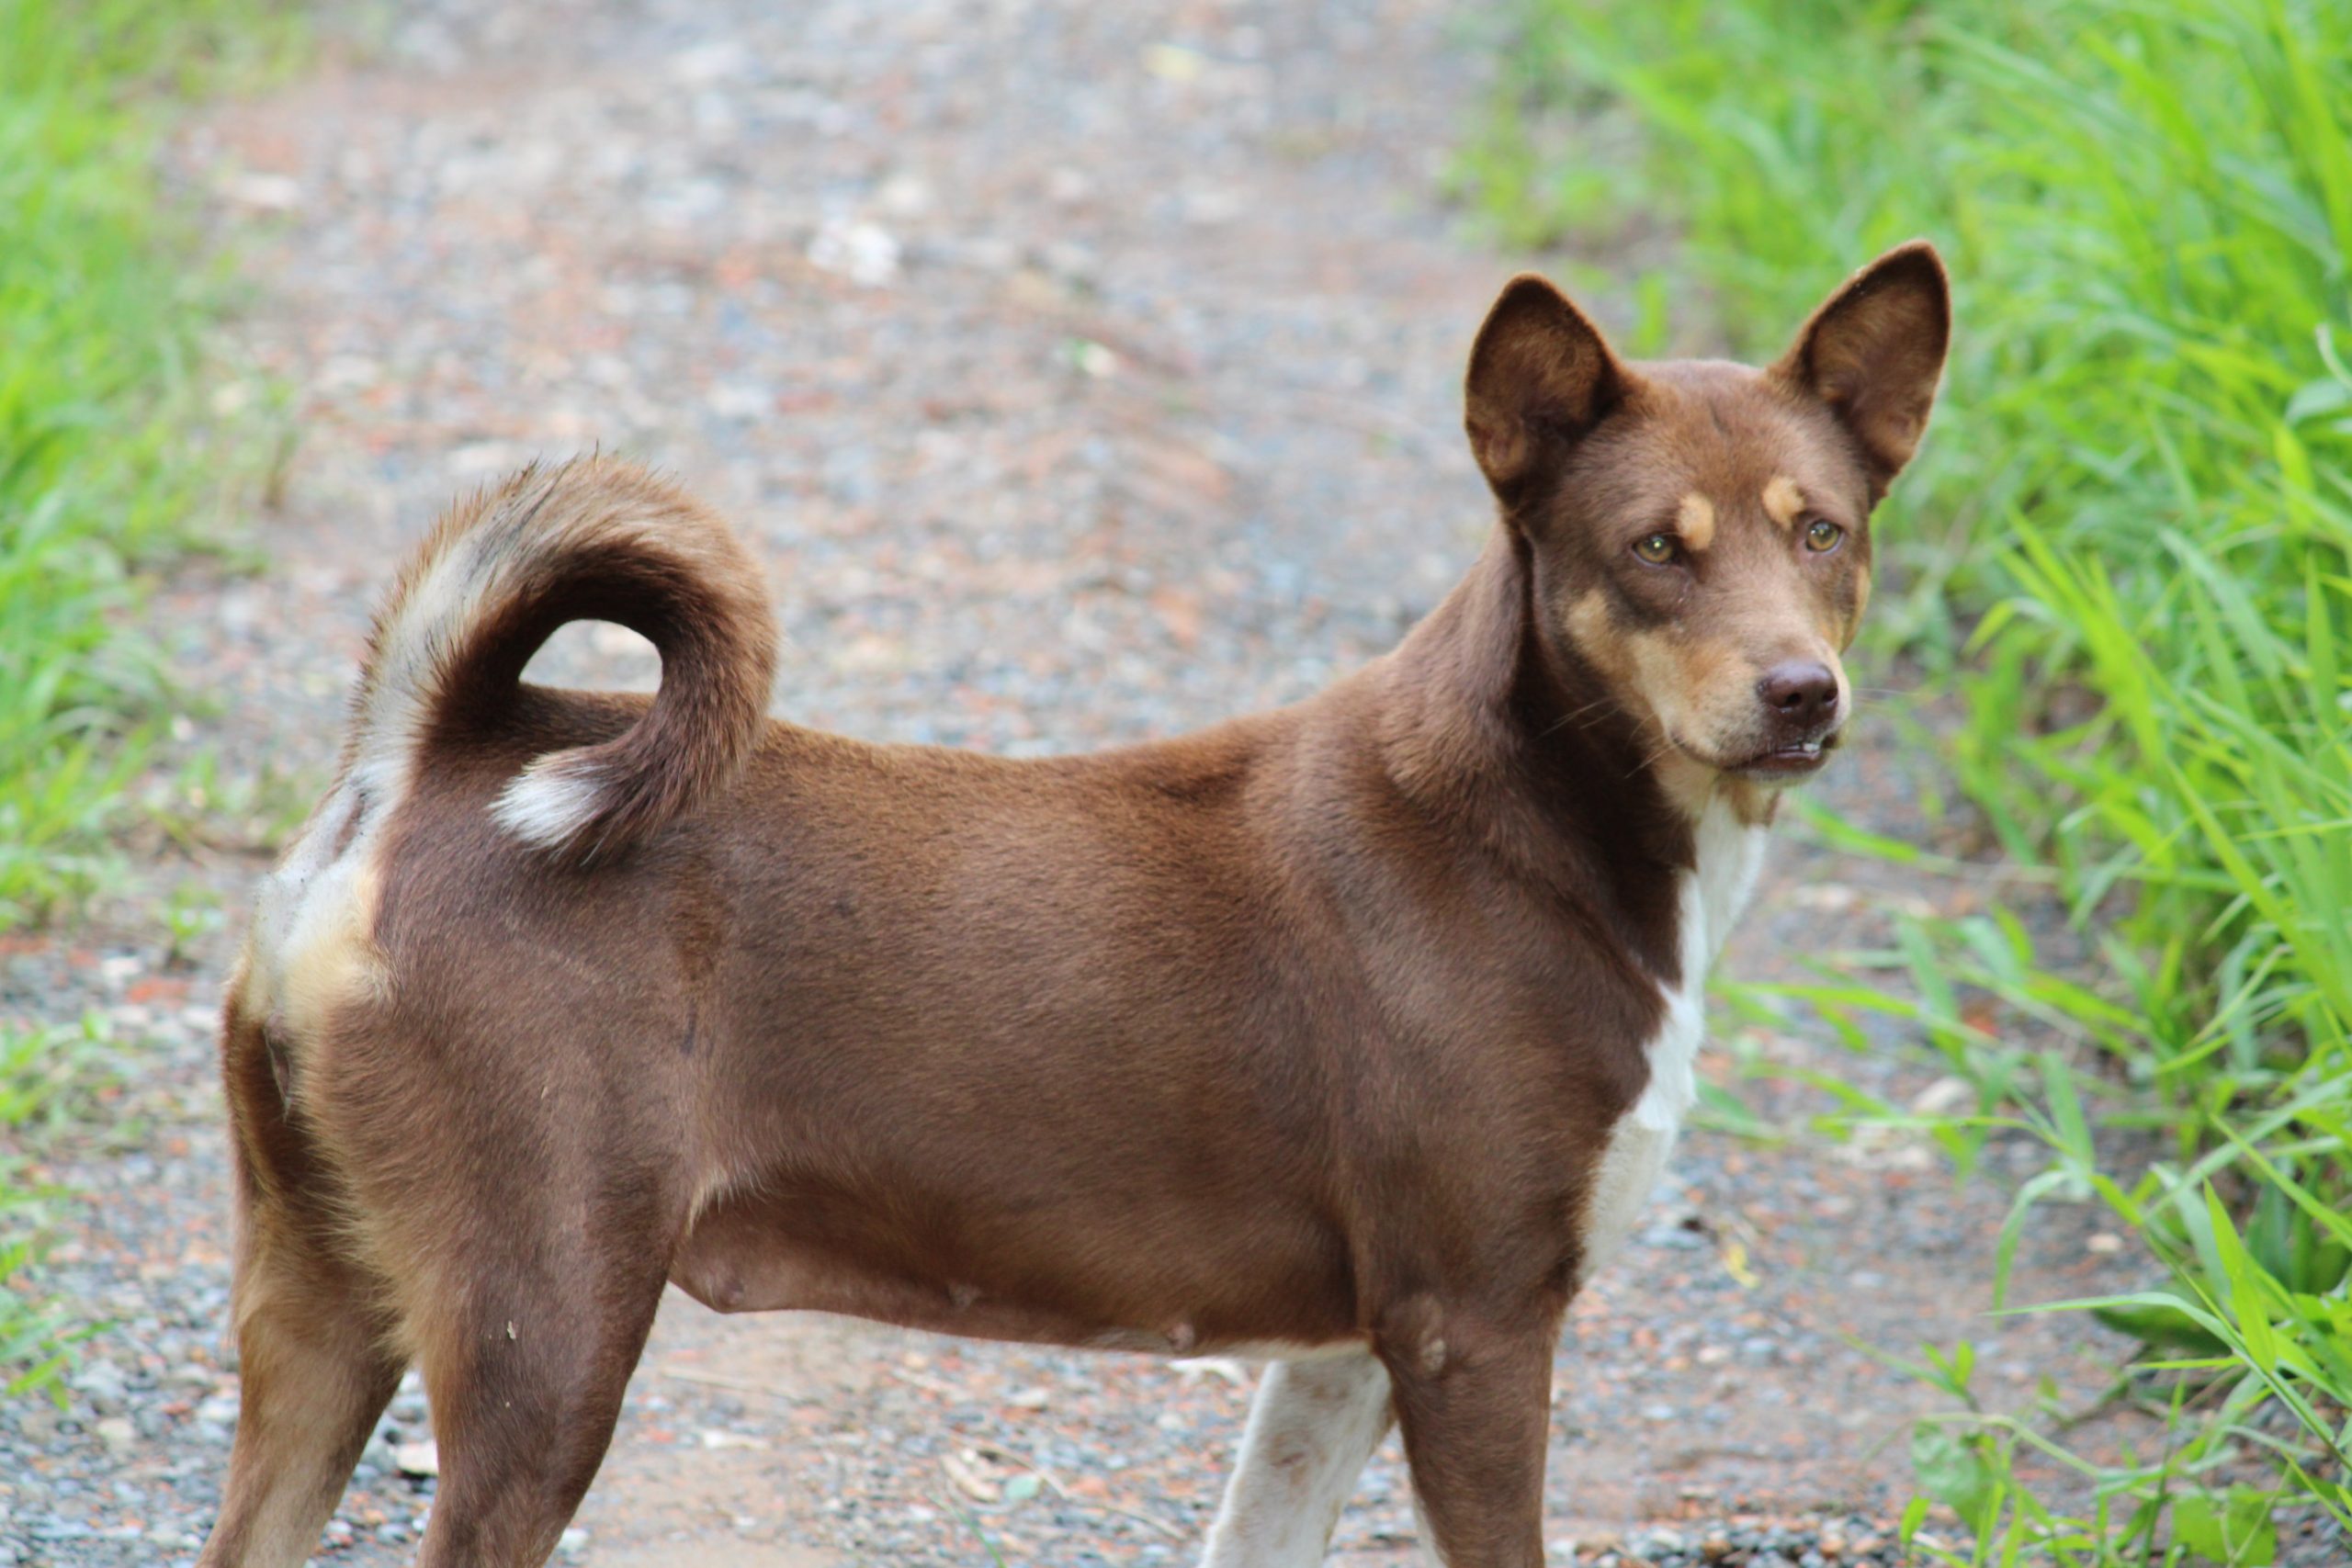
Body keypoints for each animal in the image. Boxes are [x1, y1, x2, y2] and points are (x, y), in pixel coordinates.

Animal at [202, 245, 1947, 1568]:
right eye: (1654, 548)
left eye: (1822, 531)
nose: (1802, 693)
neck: (1537, 824)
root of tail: (429, 753)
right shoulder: (1480, 1329)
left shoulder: (1344, 1356)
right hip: (543, 1337)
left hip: (322, 1301)